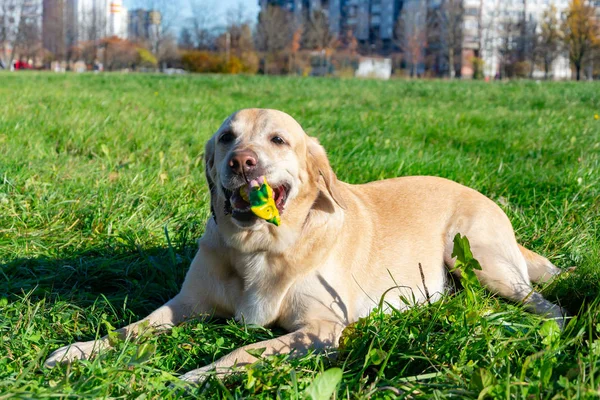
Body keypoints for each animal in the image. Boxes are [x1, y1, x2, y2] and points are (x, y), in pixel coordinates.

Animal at [44, 108, 564, 382]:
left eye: (278, 139)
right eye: (226, 137)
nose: (241, 161)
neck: (258, 248)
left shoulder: (321, 329)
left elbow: (242, 352)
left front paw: (198, 375)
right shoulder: (185, 305)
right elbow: (131, 329)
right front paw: (79, 351)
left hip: (476, 260)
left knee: (550, 307)